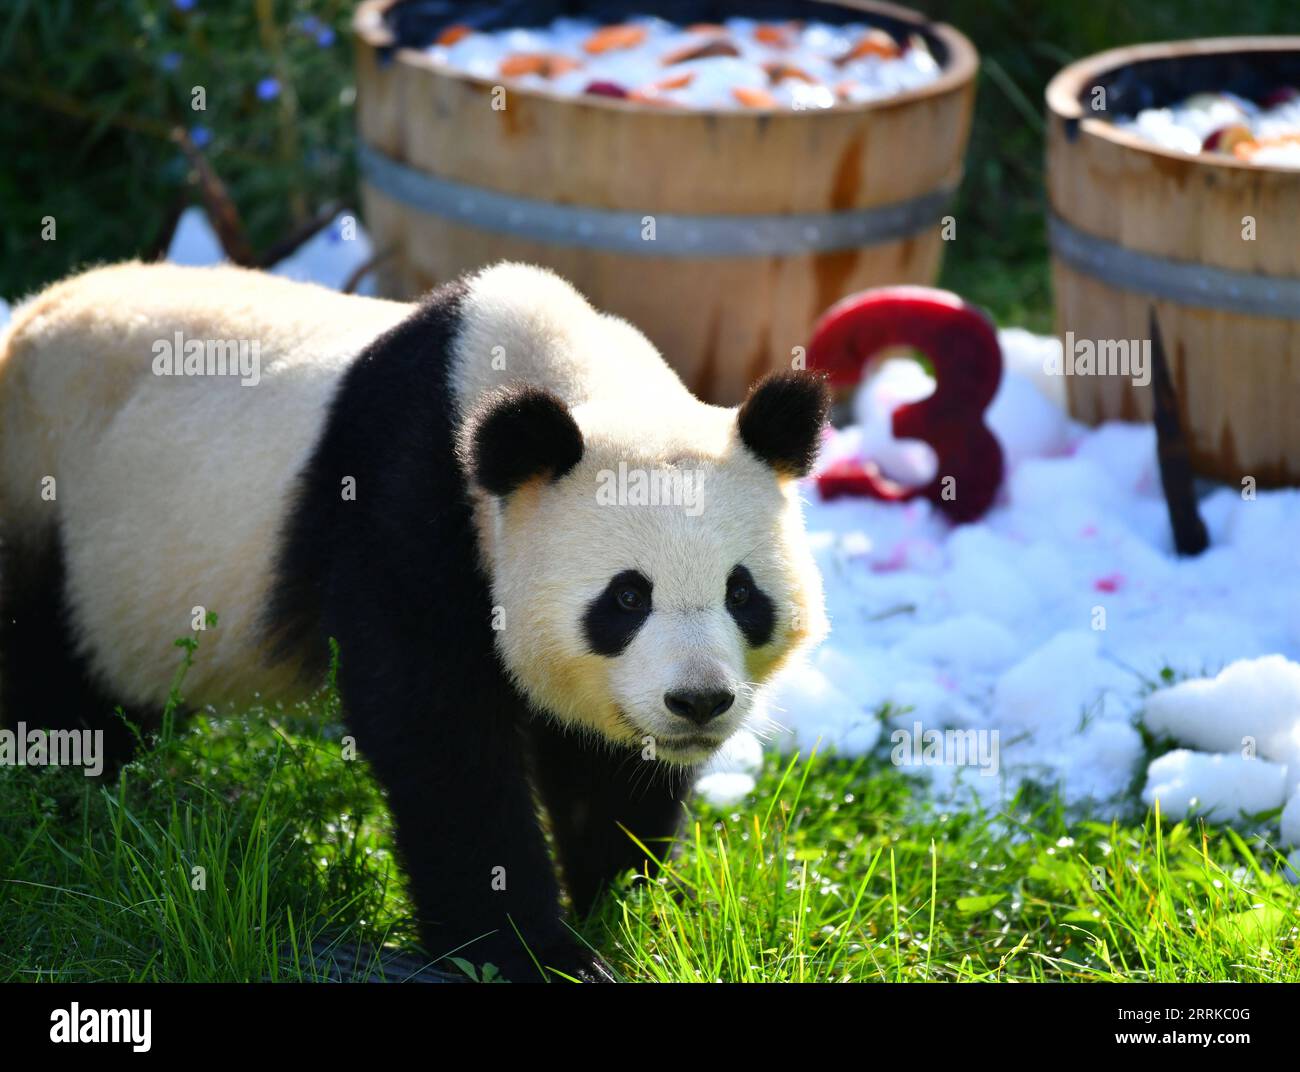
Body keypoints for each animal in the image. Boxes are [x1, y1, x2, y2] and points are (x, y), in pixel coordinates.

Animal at [0, 260, 829, 981]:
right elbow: (436, 731)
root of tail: (25, 321)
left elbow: (606, 764)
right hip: (53, 502)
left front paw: (639, 904)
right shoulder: (404, 504)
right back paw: (66, 810)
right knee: (53, 684)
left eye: (742, 594)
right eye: (626, 599)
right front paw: (535, 953)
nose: (698, 702)